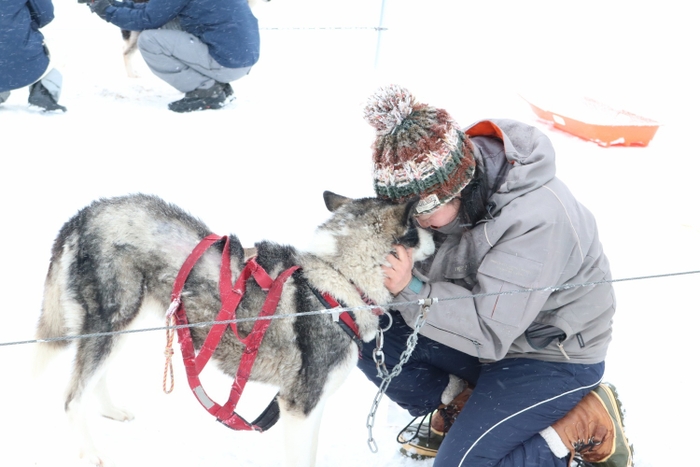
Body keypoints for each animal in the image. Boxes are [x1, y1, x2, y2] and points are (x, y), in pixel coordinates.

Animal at [37, 192, 438, 466]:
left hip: (124, 325)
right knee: (72, 398)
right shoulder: (300, 407)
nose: (438, 239)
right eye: (418, 227)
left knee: (93, 379)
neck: (336, 280)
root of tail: (85, 214)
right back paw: (91, 453)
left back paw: (110, 411)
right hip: (113, 323)